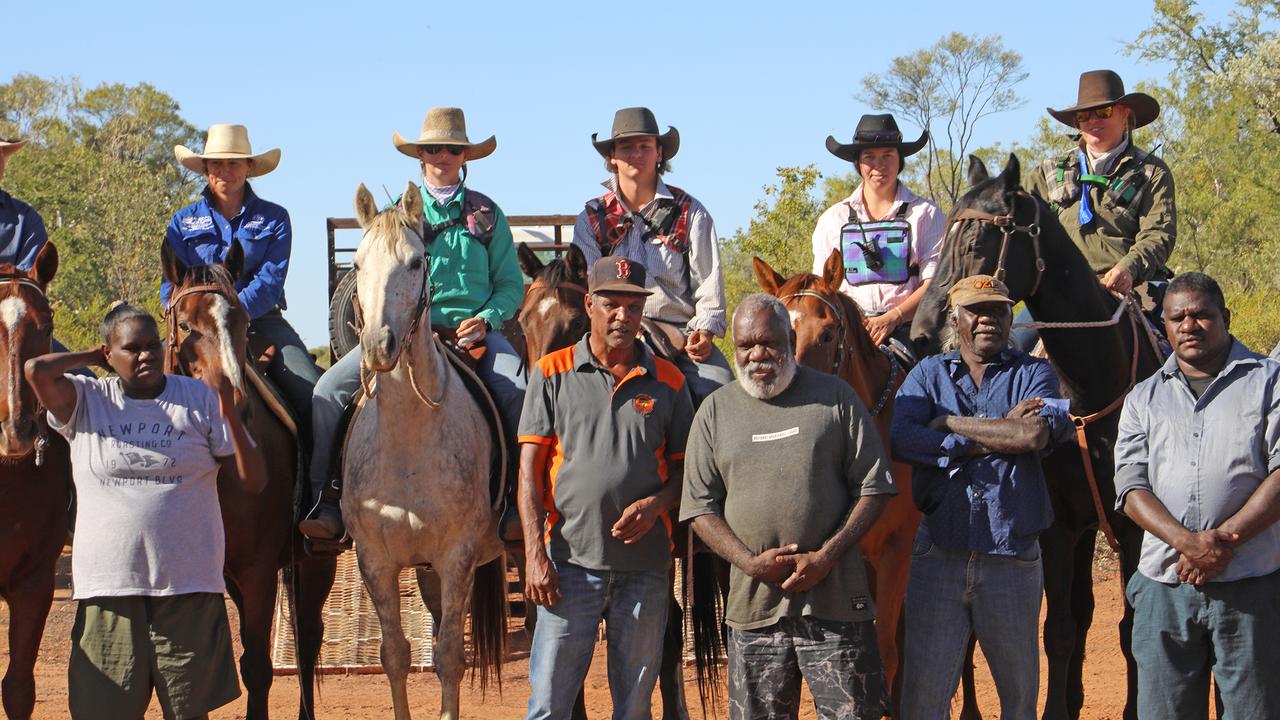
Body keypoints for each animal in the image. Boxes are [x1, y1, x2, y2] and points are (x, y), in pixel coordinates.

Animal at [160, 239, 337, 717]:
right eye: (185, 325)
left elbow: (257, 667)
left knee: (309, 637)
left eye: (240, 321)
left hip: (317, 561)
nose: (233, 409)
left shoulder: (257, 572)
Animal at [348, 183, 512, 717]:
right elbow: (395, 656)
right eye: (357, 263)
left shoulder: (456, 557)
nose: (379, 346)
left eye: (417, 261)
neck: (408, 446)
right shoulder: (376, 561)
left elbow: (448, 659)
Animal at [906, 154, 1167, 712]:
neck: (1093, 387)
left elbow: (1130, 626)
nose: (922, 333)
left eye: (977, 243)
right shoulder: (1059, 527)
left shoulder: (1133, 524)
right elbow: (1061, 631)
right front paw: (1056, 709)